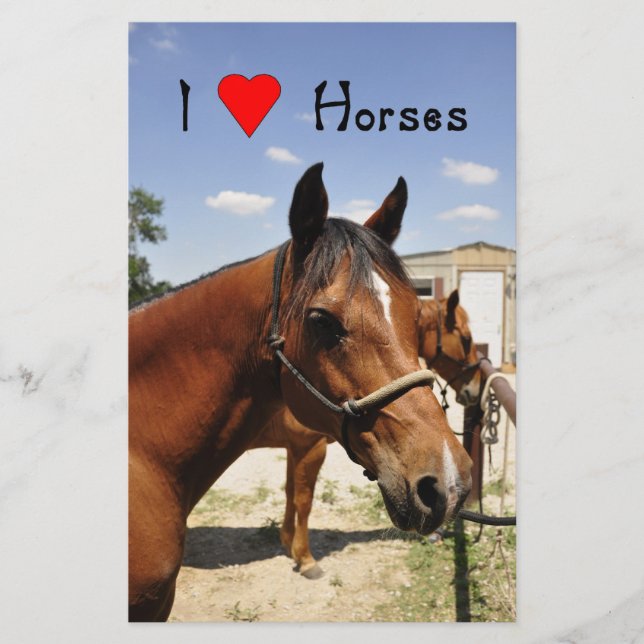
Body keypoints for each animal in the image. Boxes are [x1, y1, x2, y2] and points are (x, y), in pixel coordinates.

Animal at [249, 291, 482, 578]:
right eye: (466, 339)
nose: (476, 388)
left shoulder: (295, 449)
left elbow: (290, 492)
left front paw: (288, 542)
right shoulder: (309, 447)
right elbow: (303, 501)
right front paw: (305, 559)